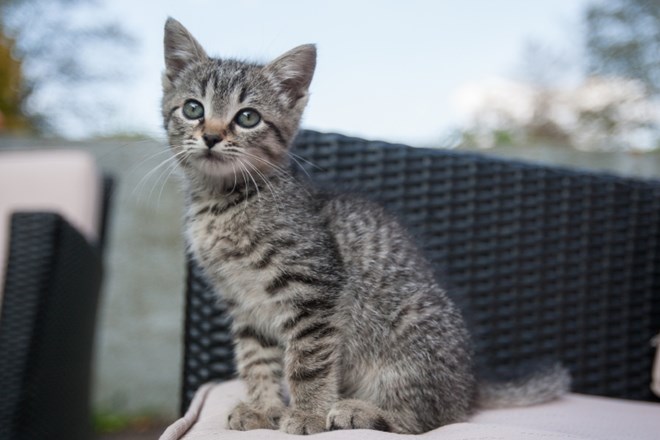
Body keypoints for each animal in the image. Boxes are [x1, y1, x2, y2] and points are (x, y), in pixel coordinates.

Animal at [161, 18, 568, 434]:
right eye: (193, 109)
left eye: (247, 117)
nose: (211, 136)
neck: (223, 203)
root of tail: (470, 385)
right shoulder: (243, 303)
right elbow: (256, 359)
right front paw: (264, 408)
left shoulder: (314, 286)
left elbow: (308, 360)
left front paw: (307, 413)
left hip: (411, 339)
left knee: (429, 418)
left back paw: (362, 411)